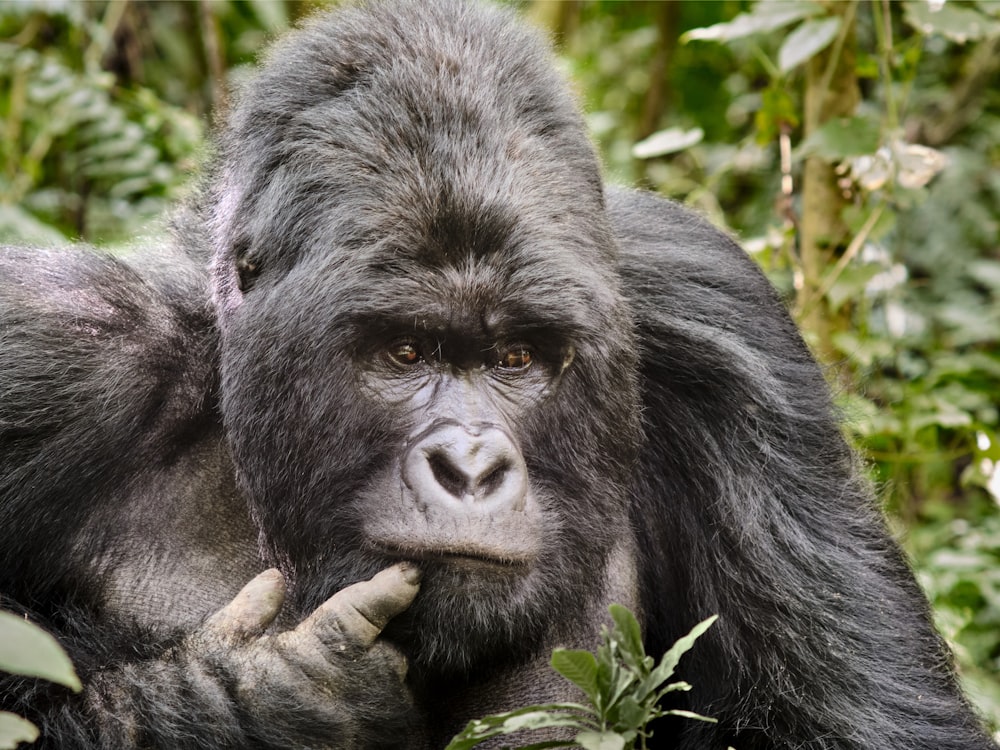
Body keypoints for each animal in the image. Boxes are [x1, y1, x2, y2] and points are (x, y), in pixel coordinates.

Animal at [0, 1, 992, 750]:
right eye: (404, 353)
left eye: (517, 358)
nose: (471, 469)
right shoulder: (48, 353)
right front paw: (245, 702)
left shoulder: (724, 333)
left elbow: (863, 724)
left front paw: (248, 698)